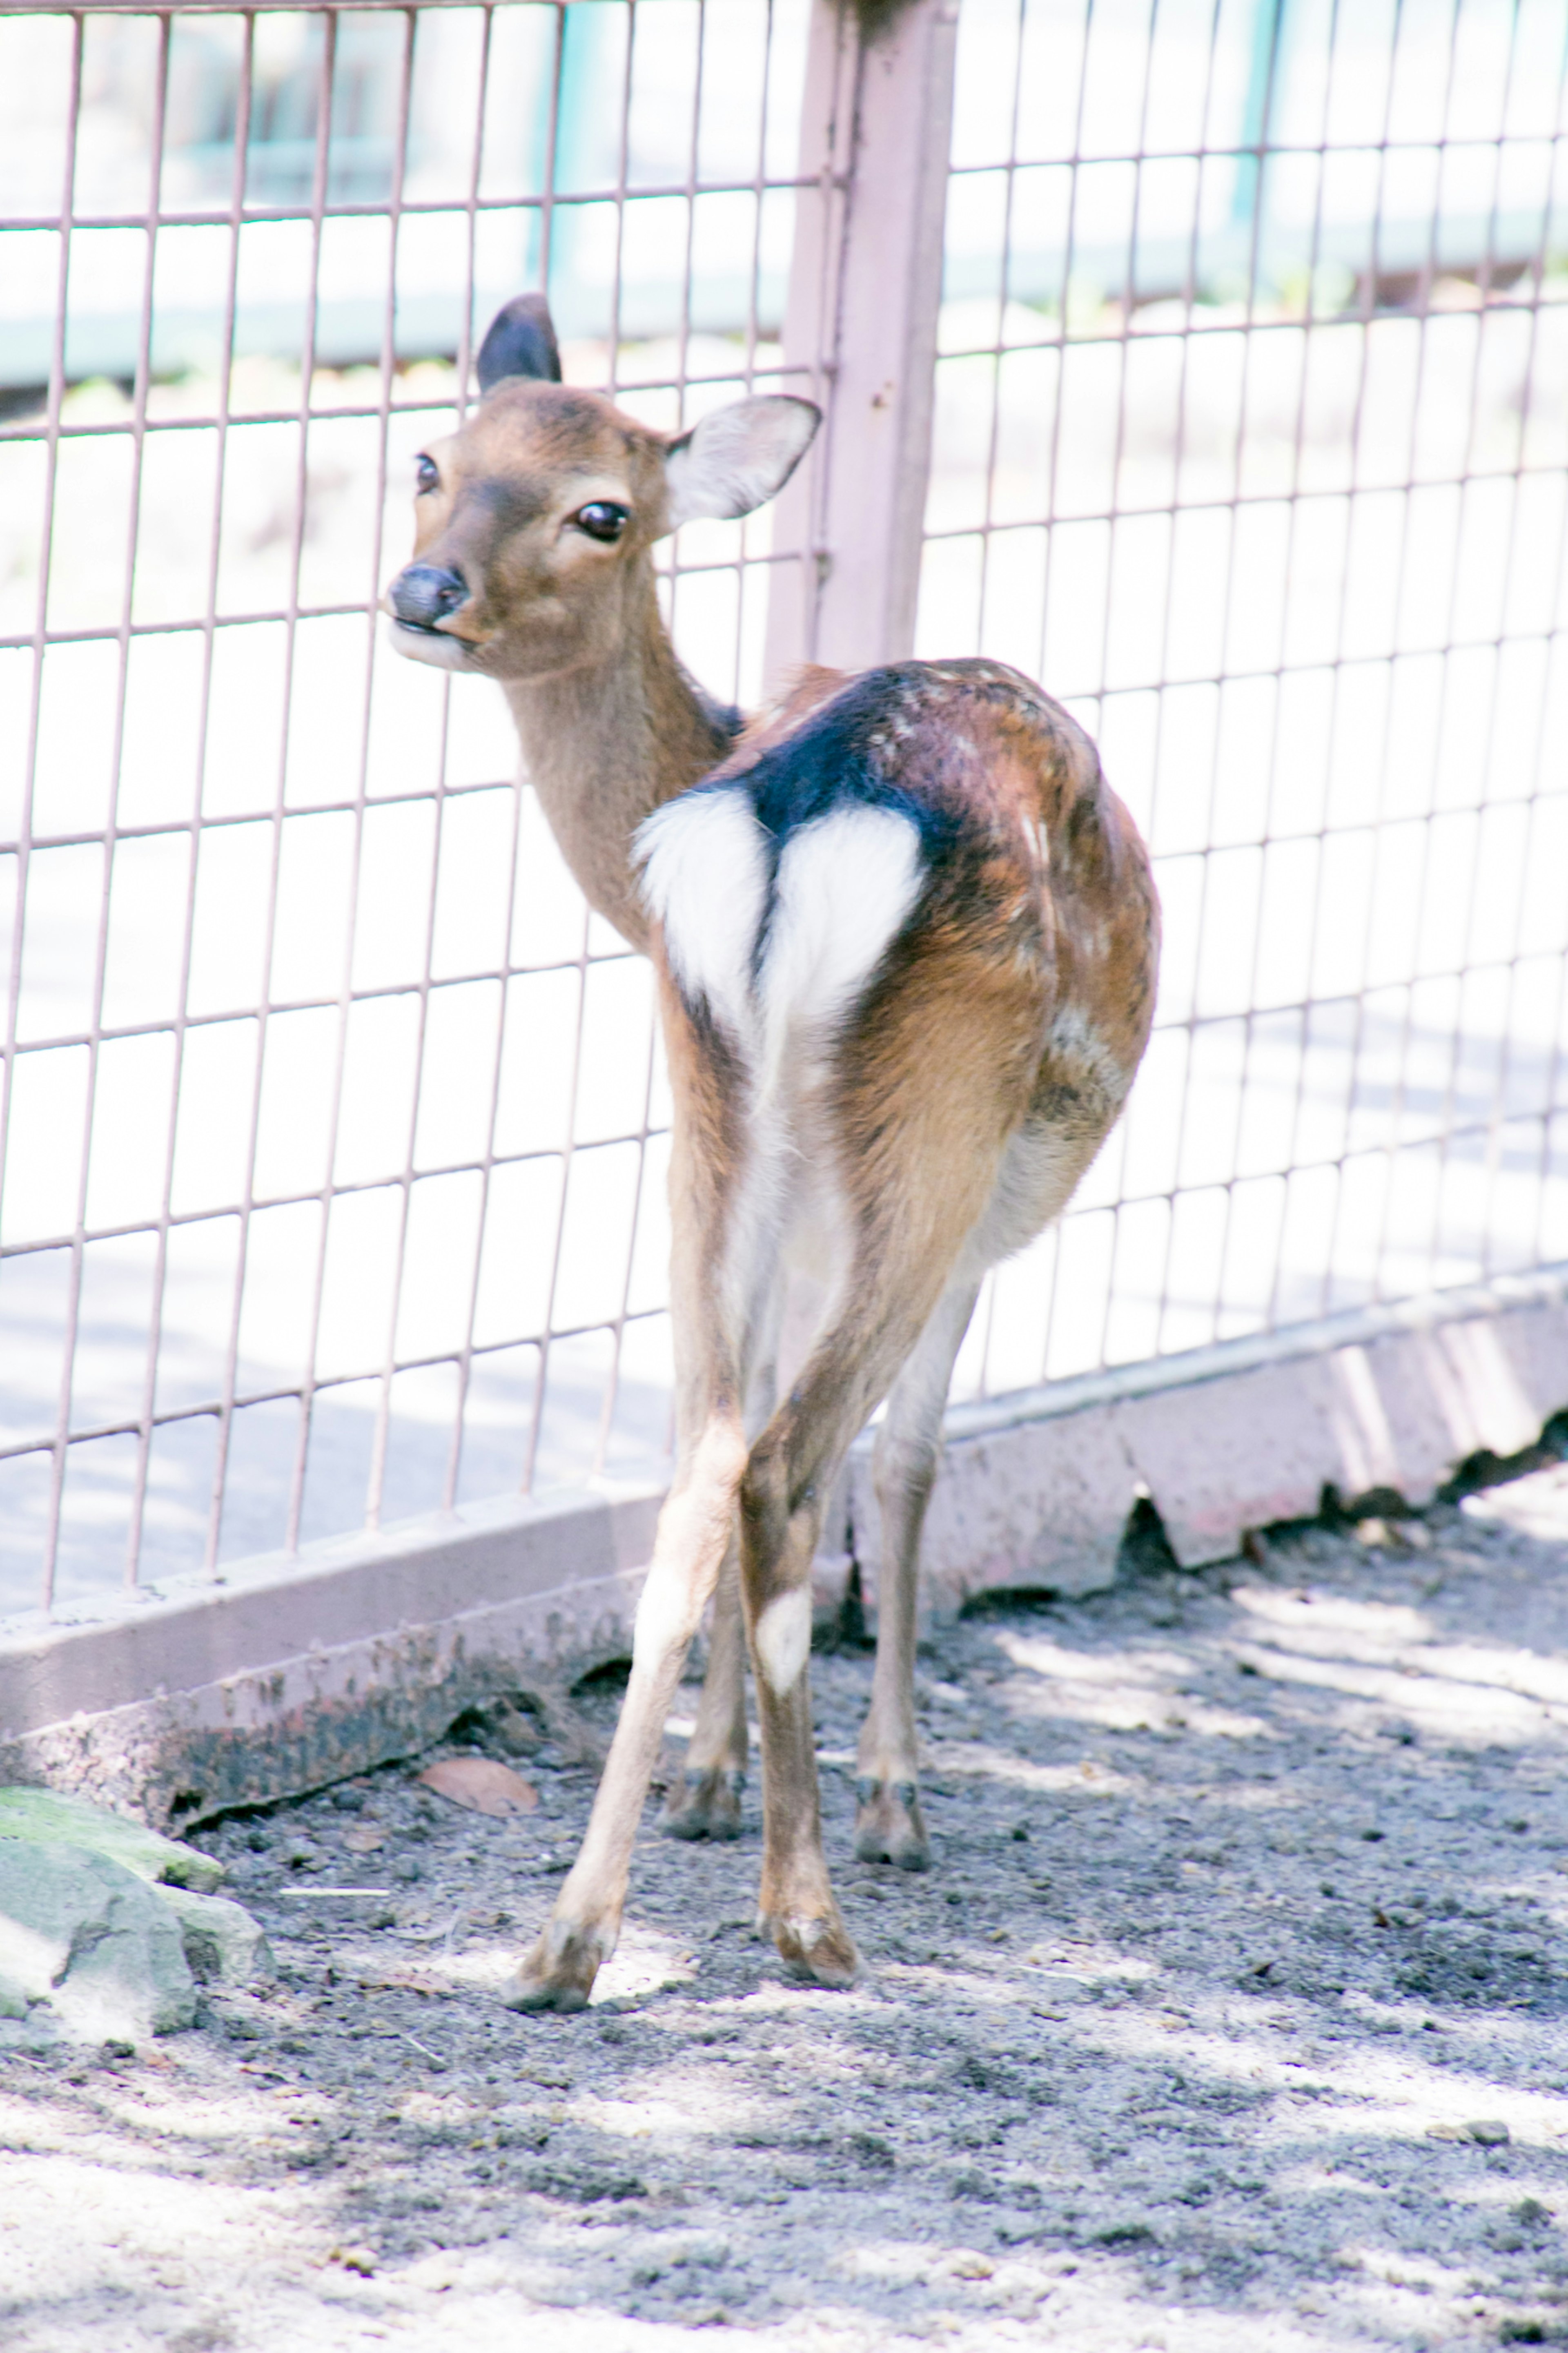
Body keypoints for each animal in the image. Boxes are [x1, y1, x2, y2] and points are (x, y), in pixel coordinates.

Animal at [385, 294, 1161, 2005]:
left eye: (601, 509)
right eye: (435, 462)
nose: (421, 592)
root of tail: (807, 800)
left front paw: (706, 1778)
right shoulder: (985, 1216)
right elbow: (918, 1460)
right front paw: (888, 1796)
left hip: (717, 1119)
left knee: (700, 1464)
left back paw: (572, 1935)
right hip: (937, 1125)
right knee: (792, 1468)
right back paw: (808, 1910)